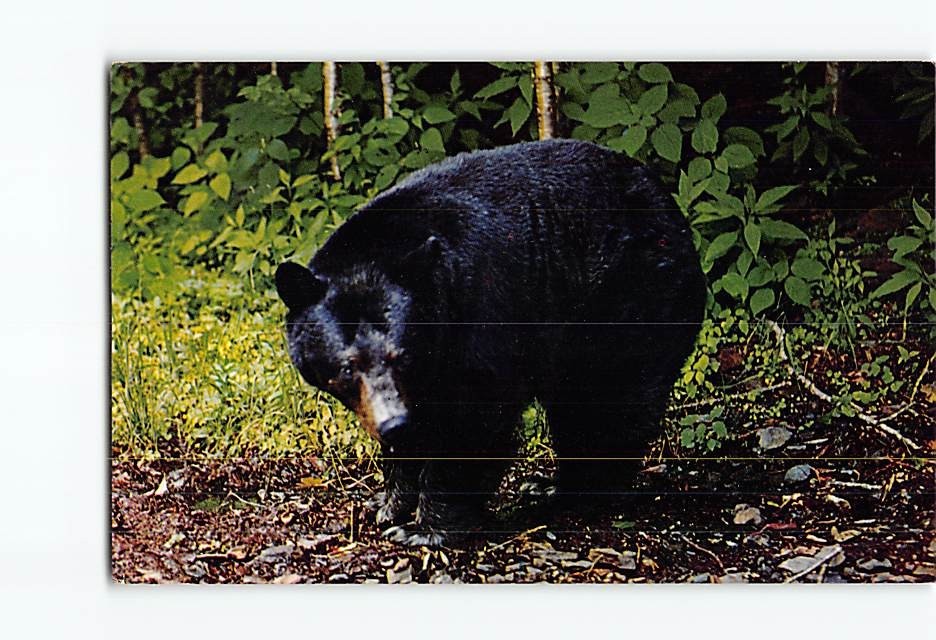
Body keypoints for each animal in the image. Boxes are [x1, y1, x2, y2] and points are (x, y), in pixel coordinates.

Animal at [275, 139, 706, 547]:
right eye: (348, 366)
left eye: (401, 356)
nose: (393, 423)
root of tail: (673, 211)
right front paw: (388, 502)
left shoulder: (482, 316)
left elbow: (473, 420)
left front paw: (425, 527)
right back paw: (548, 485)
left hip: (627, 301)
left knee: (608, 403)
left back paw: (582, 493)